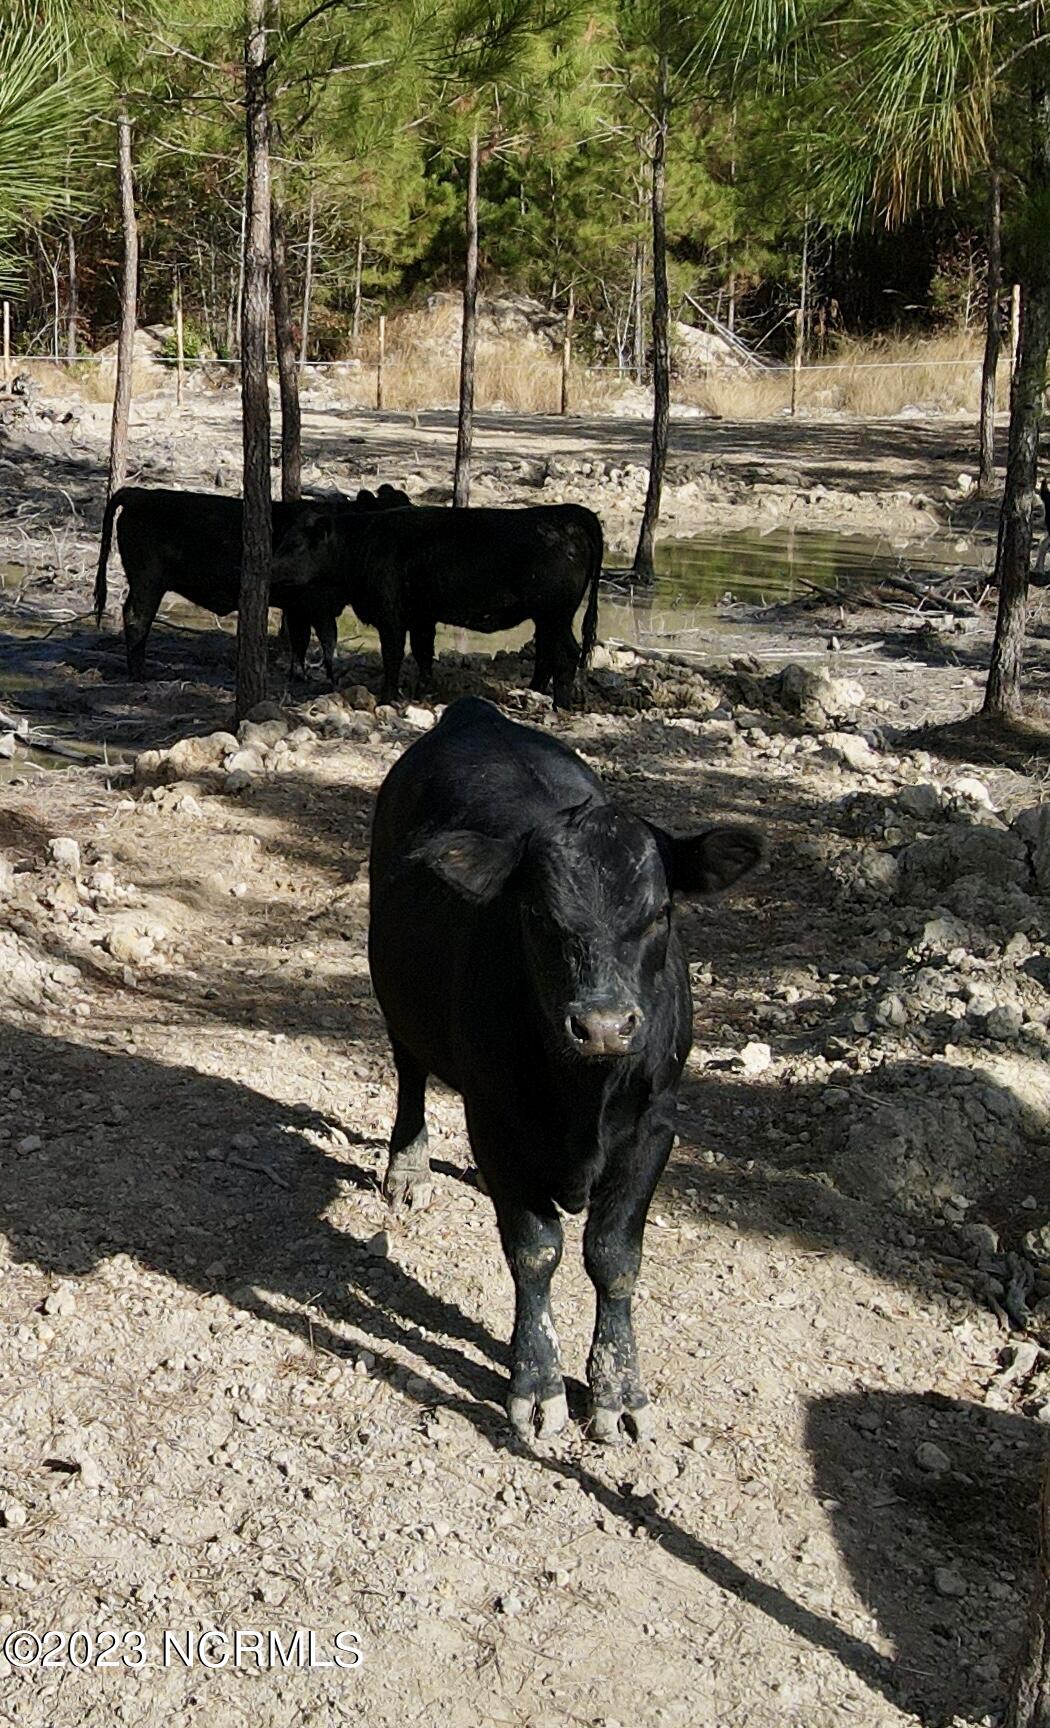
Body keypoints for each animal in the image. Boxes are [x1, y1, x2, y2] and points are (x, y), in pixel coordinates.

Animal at [93, 484, 411, 681]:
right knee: (137, 618)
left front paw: (299, 674)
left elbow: (300, 639)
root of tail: (139, 493)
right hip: (148, 581)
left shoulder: (298, 606)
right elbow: (325, 638)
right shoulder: (316, 604)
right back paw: (139, 673)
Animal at [271, 500, 604, 709]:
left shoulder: (391, 617)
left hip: (556, 613)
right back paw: (533, 691)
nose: (270, 567)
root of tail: (570, 514)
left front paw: (387, 697)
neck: (364, 543)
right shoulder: (422, 617)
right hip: (545, 617)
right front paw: (423, 691)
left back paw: (560, 703)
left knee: (567, 652)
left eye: (295, 544)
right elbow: (423, 653)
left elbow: (393, 656)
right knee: (546, 651)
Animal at [368, 696, 762, 1441]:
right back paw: (409, 1168)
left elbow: (614, 1256)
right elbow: (535, 1249)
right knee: (410, 1073)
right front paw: (538, 1385)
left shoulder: (656, 1123)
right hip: (395, 990)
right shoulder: (494, 1120)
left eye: (660, 912)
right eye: (534, 913)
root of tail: (476, 712)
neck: (585, 1098)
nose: (604, 1024)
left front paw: (617, 1390)